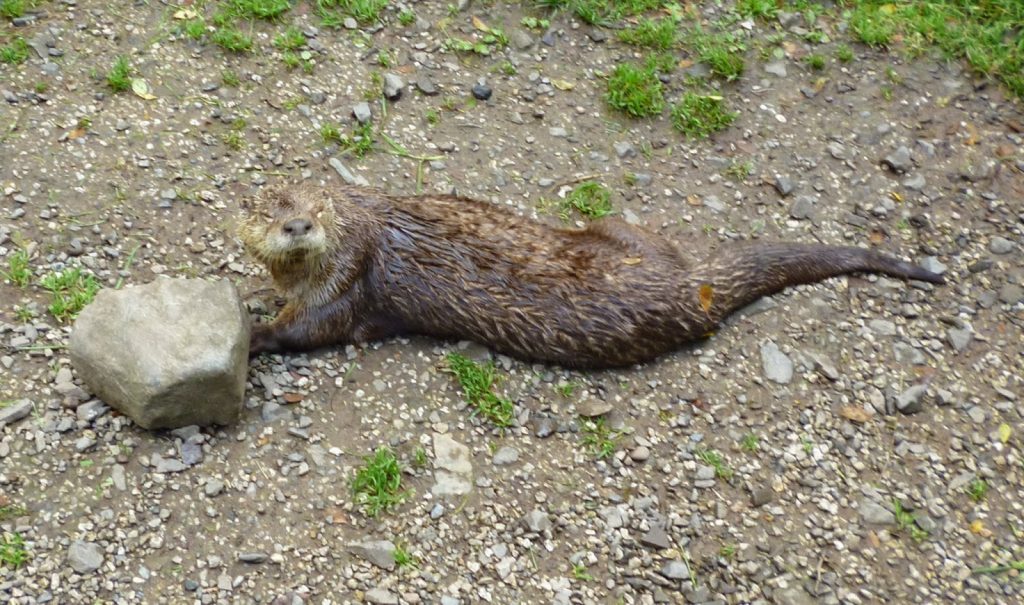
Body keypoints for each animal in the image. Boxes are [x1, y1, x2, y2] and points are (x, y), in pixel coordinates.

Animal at [240, 184, 944, 369]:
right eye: (268, 207)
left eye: (317, 209)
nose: (297, 225)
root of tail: (692, 286)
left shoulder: (345, 285)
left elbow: (310, 329)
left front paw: (255, 334)